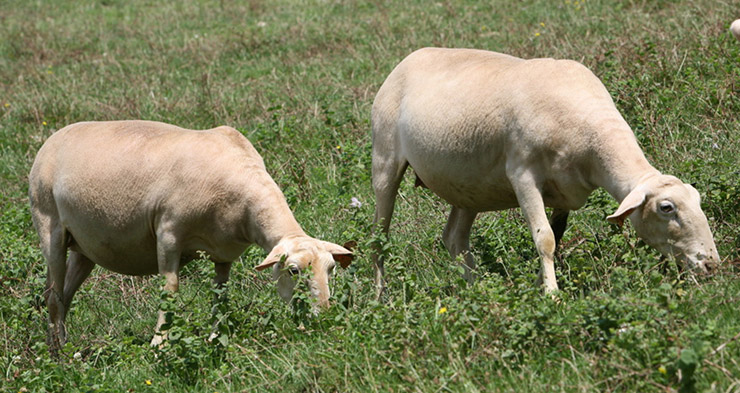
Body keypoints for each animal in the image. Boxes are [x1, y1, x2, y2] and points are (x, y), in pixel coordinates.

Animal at [28, 118, 352, 346]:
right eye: (294, 270)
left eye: (331, 268)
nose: (324, 314)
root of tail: (52, 138)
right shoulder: (168, 233)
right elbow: (169, 289)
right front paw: (159, 343)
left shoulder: (224, 254)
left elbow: (220, 296)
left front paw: (216, 337)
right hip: (49, 225)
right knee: (53, 296)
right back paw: (58, 355)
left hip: (85, 246)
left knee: (65, 294)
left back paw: (64, 345)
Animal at [372, 47, 720, 296]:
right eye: (666, 208)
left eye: (698, 201)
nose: (712, 265)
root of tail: (409, 59)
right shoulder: (523, 176)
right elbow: (545, 239)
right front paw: (552, 295)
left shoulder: (564, 191)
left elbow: (558, 235)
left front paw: (544, 281)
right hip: (385, 160)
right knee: (379, 238)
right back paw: (380, 297)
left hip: (468, 186)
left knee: (455, 239)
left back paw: (475, 291)